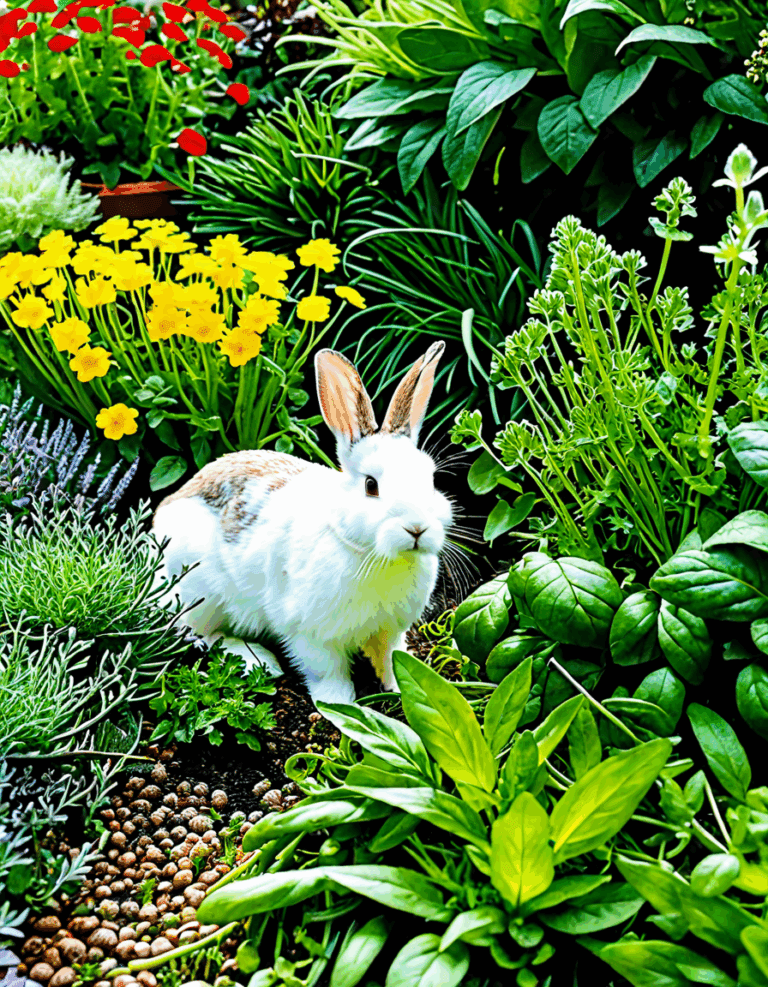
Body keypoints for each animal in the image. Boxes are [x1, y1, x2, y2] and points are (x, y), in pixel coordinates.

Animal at [151, 340, 453, 705]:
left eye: (431, 480)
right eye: (371, 486)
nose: (417, 528)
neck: (372, 555)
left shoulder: (390, 631)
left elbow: (392, 658)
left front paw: (399, 690)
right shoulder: (312, 635)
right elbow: (328, 672)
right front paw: (340, 706)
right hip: (201, 595)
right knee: (201, 633)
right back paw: (259, 661)